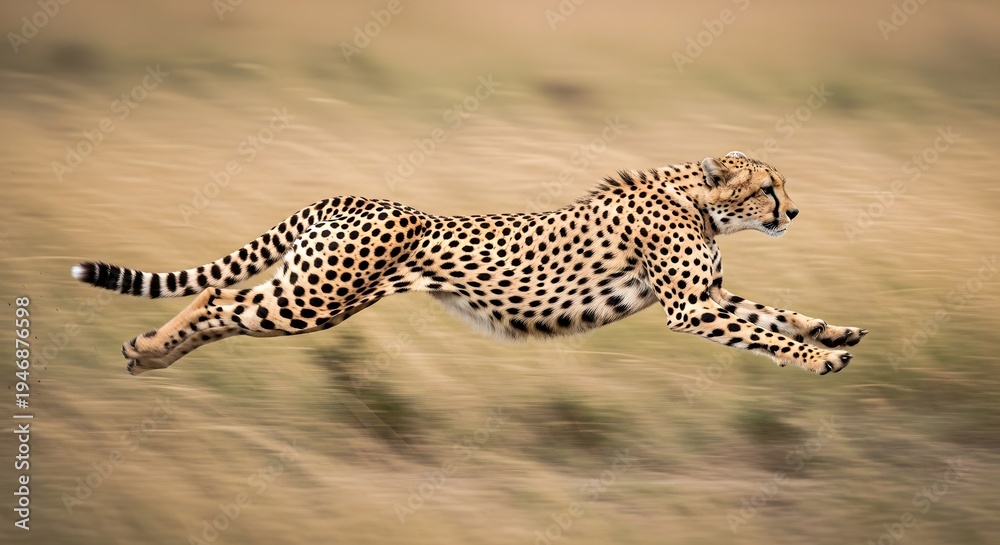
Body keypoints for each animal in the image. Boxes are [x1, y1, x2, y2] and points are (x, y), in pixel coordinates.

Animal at [72, 151, 867, 376]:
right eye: (768, 188)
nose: (793, 214)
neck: (697, 199)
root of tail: (353, 195)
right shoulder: (688, 307)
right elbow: (761, 330)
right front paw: (819, 359)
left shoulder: (707, 297)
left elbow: (775, 313)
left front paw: (834, 333)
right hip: (315, 298)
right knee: (216, 303)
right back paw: (151, 349)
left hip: (310, 286)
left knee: (220, 307)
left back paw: (150, 353)